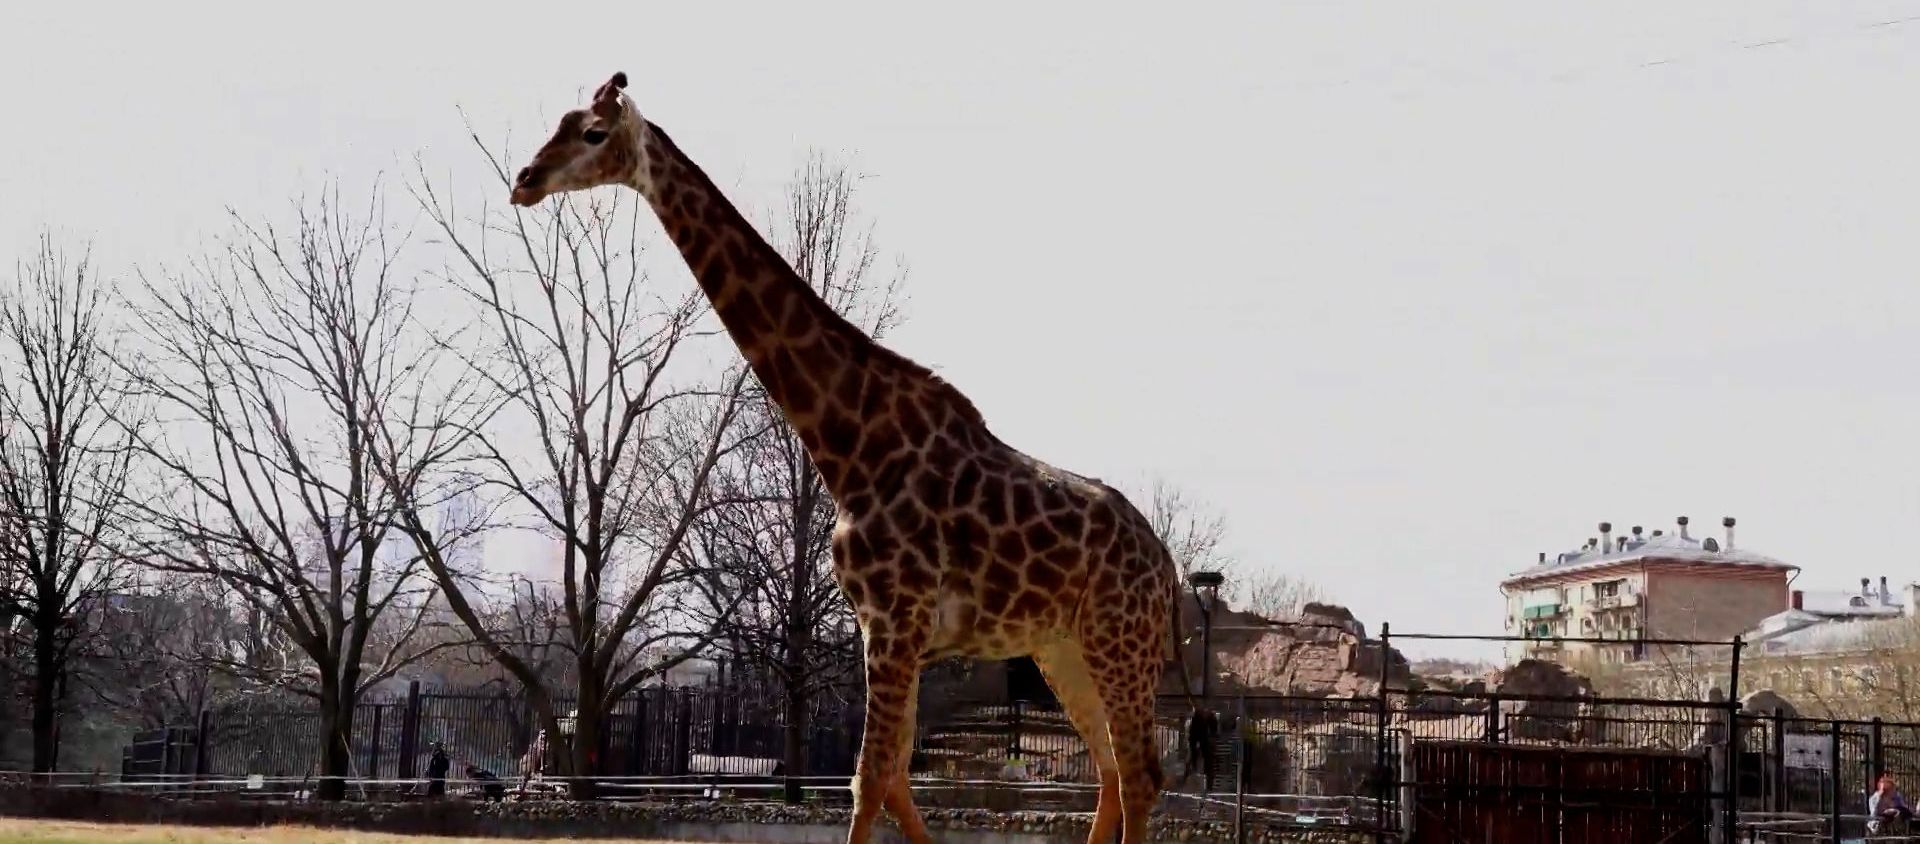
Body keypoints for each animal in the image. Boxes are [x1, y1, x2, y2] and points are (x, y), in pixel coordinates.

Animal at [508, 73, 1182, 844]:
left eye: (592, 133)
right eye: (560, 123)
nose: (523, 181)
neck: (849, 447)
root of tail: (1166, 566)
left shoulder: (894, 622)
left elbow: (868, 779)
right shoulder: (886, 631)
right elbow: (891, 781)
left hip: (1118, 641)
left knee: (1140, 773)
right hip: (1062, 647)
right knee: (1110, 772)